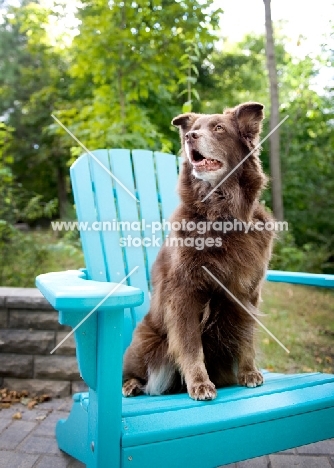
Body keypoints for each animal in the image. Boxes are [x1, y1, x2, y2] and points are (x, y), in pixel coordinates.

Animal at [122, 103, 274, 402]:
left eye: (219, 128)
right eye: (194, 129)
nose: (190, 136)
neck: (222, 214)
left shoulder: (249, 292)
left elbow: (247, 338)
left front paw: (249, 372)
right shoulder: (184, 293)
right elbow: (191, 345)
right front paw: (200, 384)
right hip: (144, 341)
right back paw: (131, 385)